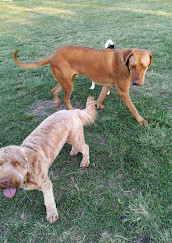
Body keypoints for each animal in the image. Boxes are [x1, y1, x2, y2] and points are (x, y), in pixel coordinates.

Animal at [14, 45, 153, 124]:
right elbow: (133, 108)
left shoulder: (107, 85)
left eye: (144, 66)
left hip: (67, 80)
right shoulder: (123, 92)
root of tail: (52, 55)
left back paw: (56, 102)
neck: (124, 60)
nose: (136, 83)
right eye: (133, 66)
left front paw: (99, 106)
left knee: (54, 90)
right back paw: (72, 111)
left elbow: (101, 97)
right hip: (69, 84)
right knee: (66, 99)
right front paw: (140, 120)